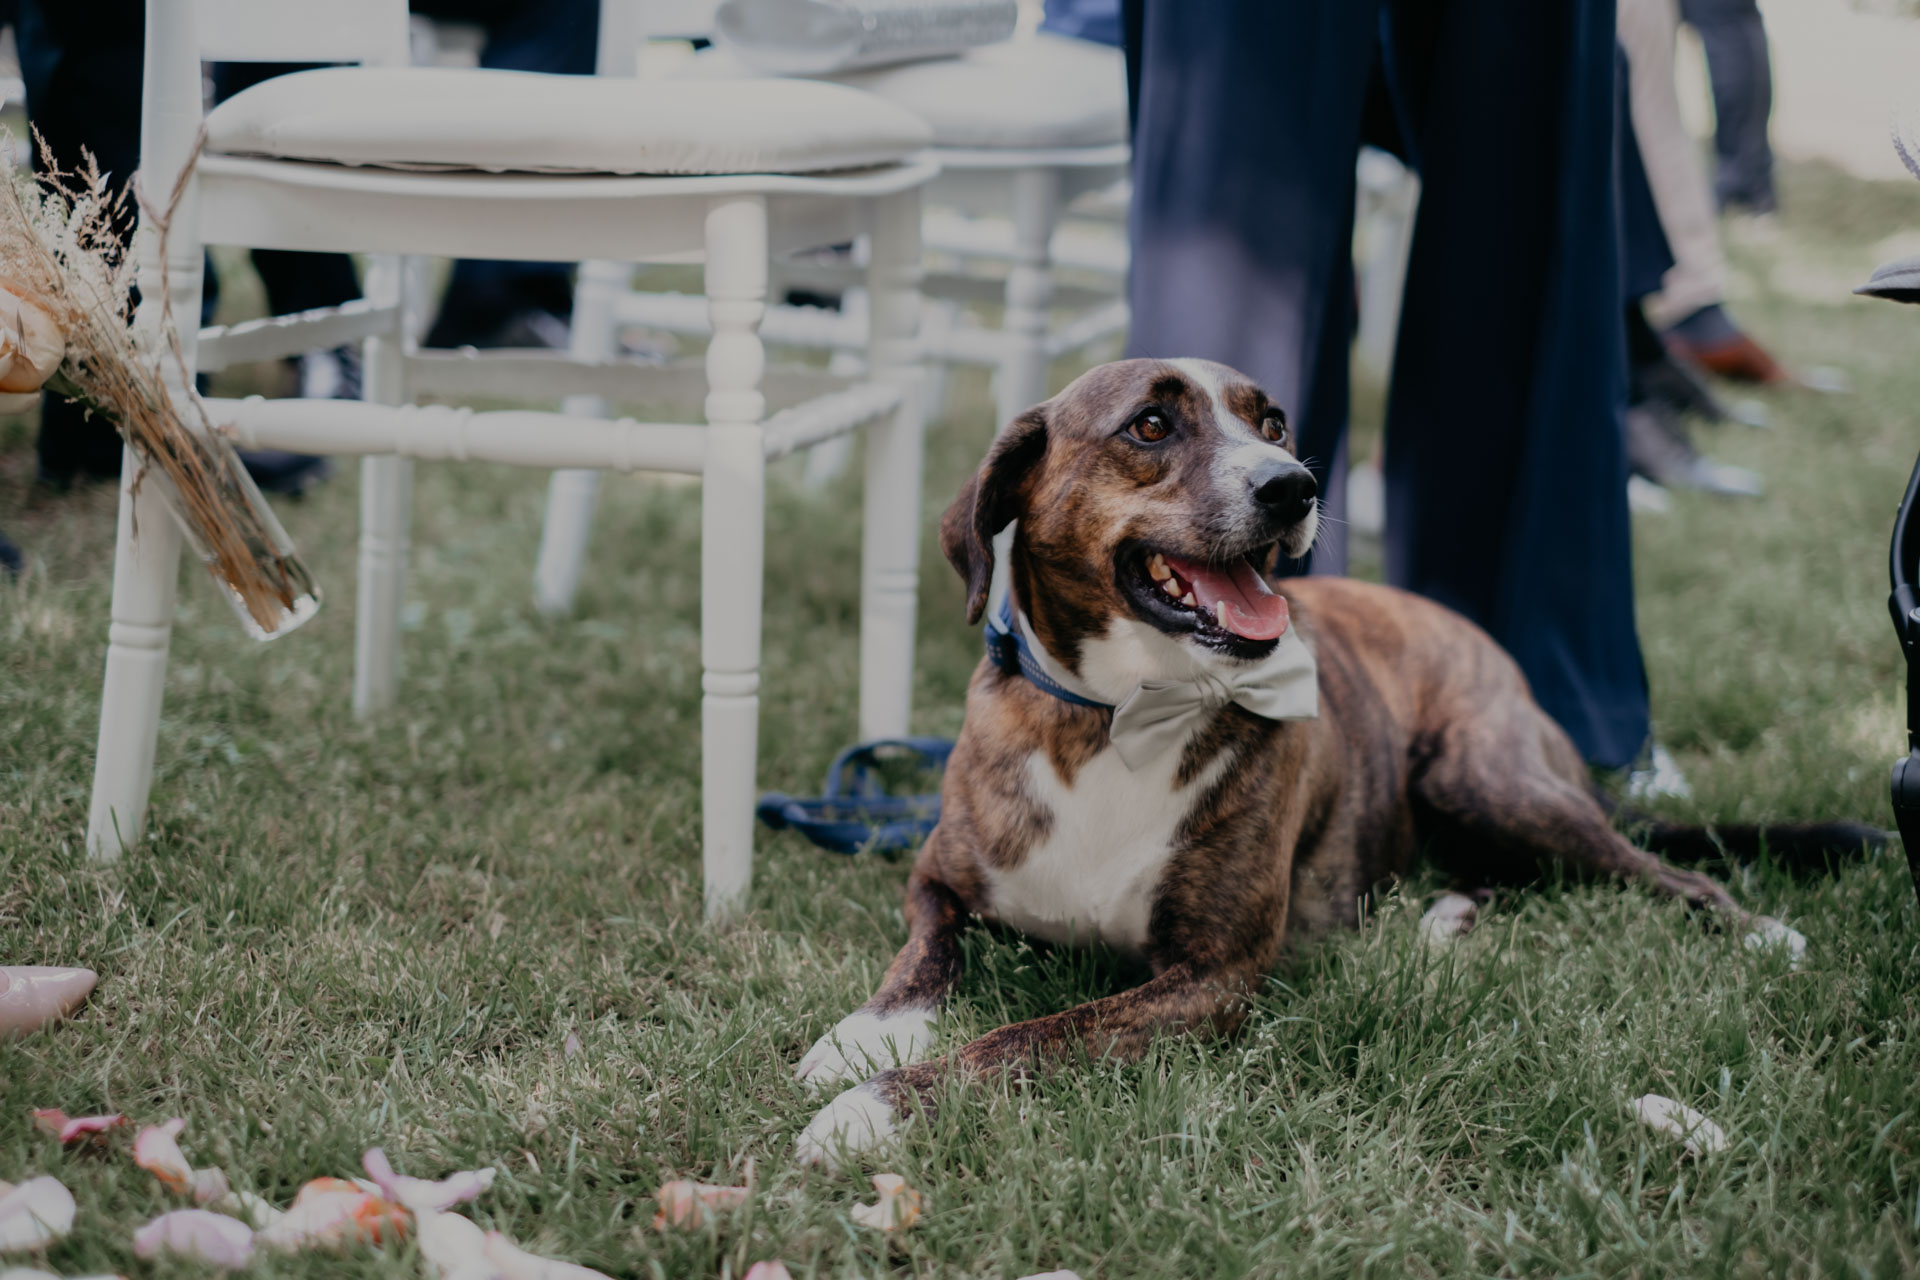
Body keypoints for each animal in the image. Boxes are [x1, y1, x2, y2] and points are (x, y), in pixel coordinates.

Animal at [791, 355, 1843, 1166]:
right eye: (1151, 424)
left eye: (1274, 423)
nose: (1293, 484)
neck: (1120, 716)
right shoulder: (938, 872)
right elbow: (928, 943)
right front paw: (864, 1034)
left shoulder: (1208, 978)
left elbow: (1028, 1036)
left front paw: (875, 1108)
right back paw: (1443, 920)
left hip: (1486, 776)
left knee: (1658, 872)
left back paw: (1764, 936)